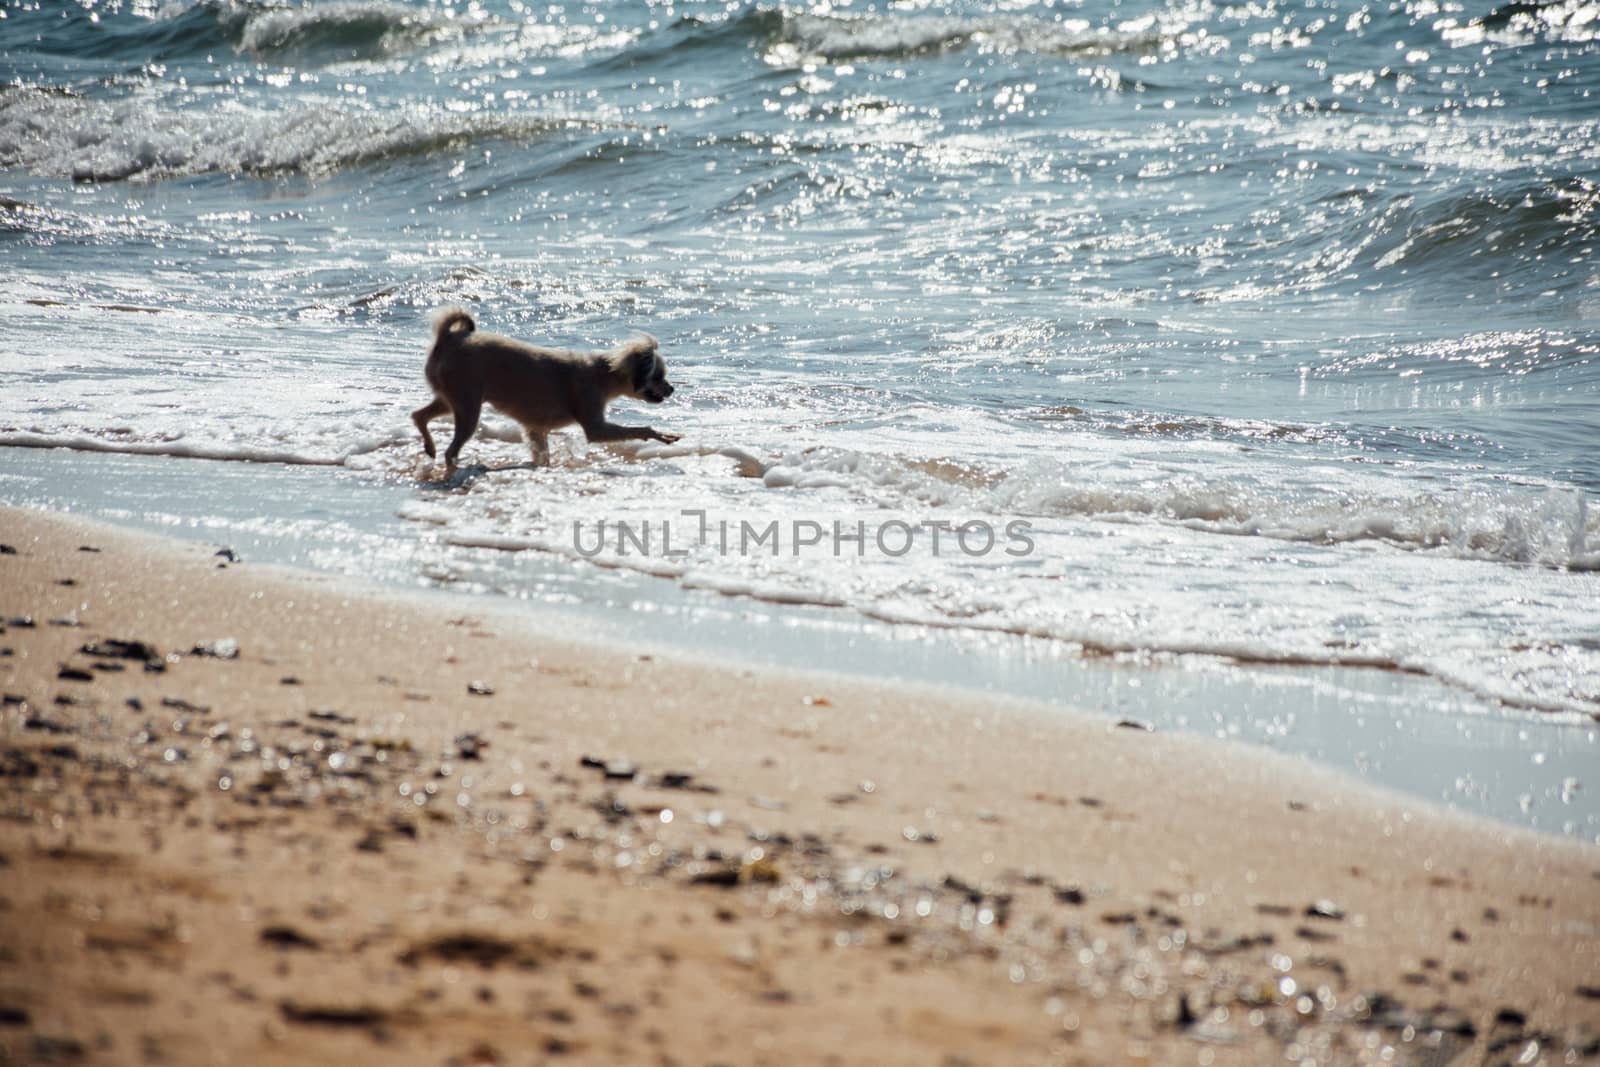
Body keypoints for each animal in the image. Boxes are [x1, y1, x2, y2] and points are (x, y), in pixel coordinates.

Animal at [409, 307, 678, 470]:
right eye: (658, 376)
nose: (672, 388)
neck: (604, 372)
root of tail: (448, 339)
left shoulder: (535, 430)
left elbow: (542, 454)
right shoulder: (595, 426)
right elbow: (640, 429)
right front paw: (662, 435)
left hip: (450, 399)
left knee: (418, 415)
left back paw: (430, 447)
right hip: (467, 407)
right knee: (450, 449)